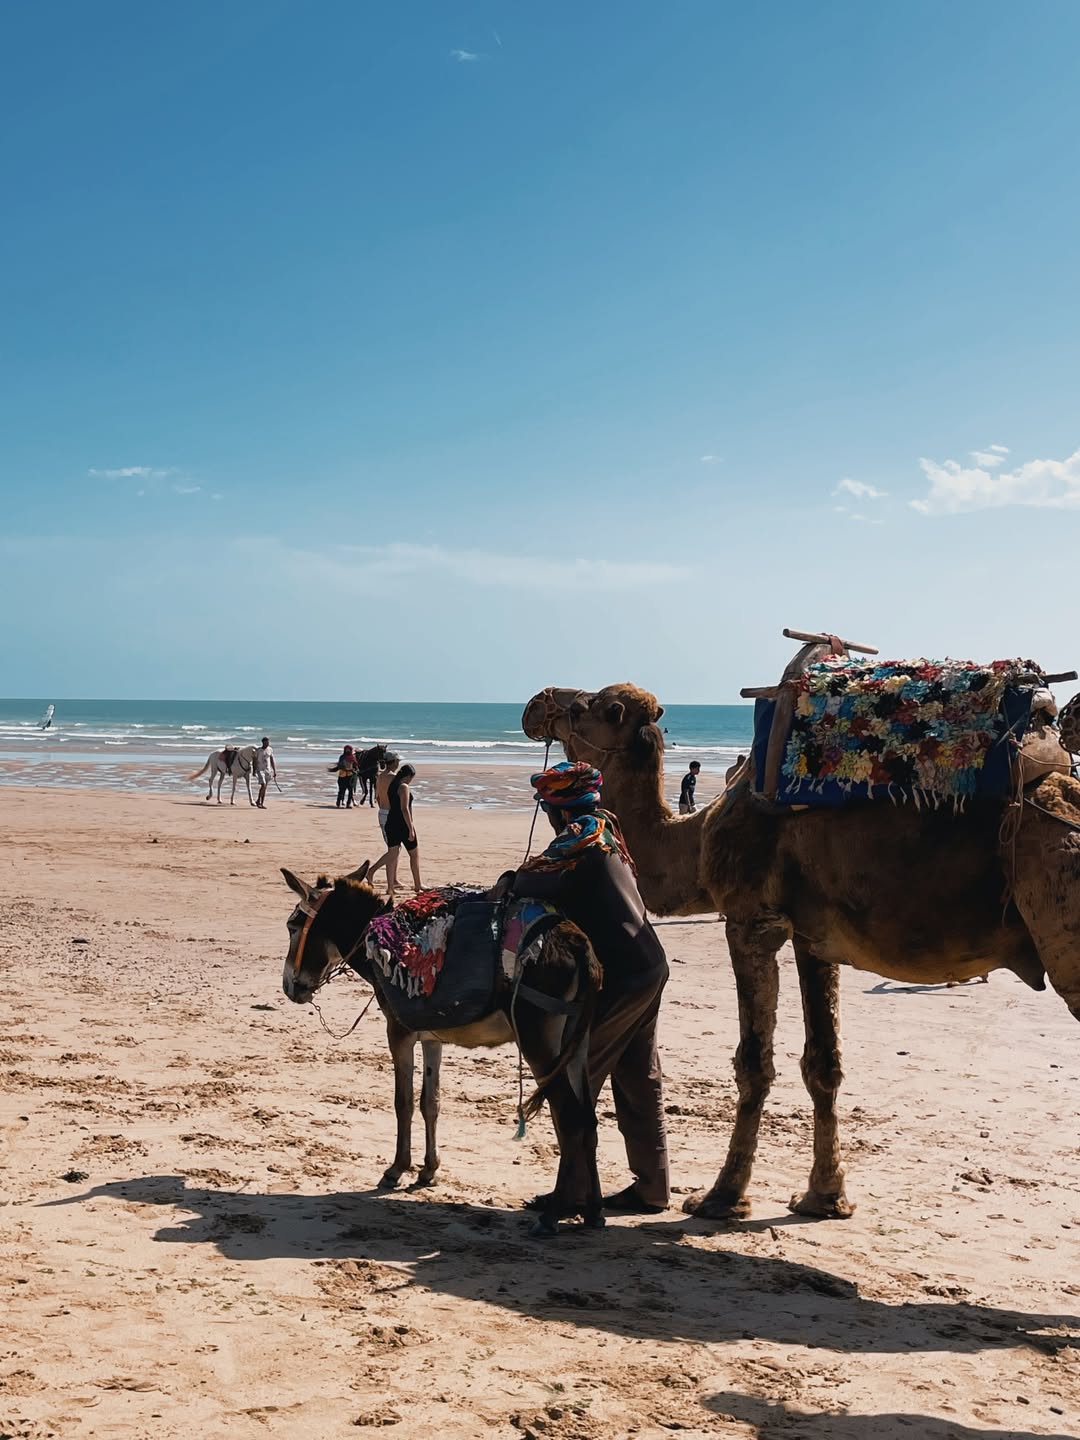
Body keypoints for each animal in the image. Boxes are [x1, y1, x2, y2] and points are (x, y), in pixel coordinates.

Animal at [523, 673, 1080, 1222]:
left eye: (589, 706)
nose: (537, 703)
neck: (697, 837)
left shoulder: (750, 920)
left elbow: (753, 1063)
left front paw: (721, 1197)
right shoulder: (815, 939)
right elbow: (824, 1064)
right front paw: (825, 1198)